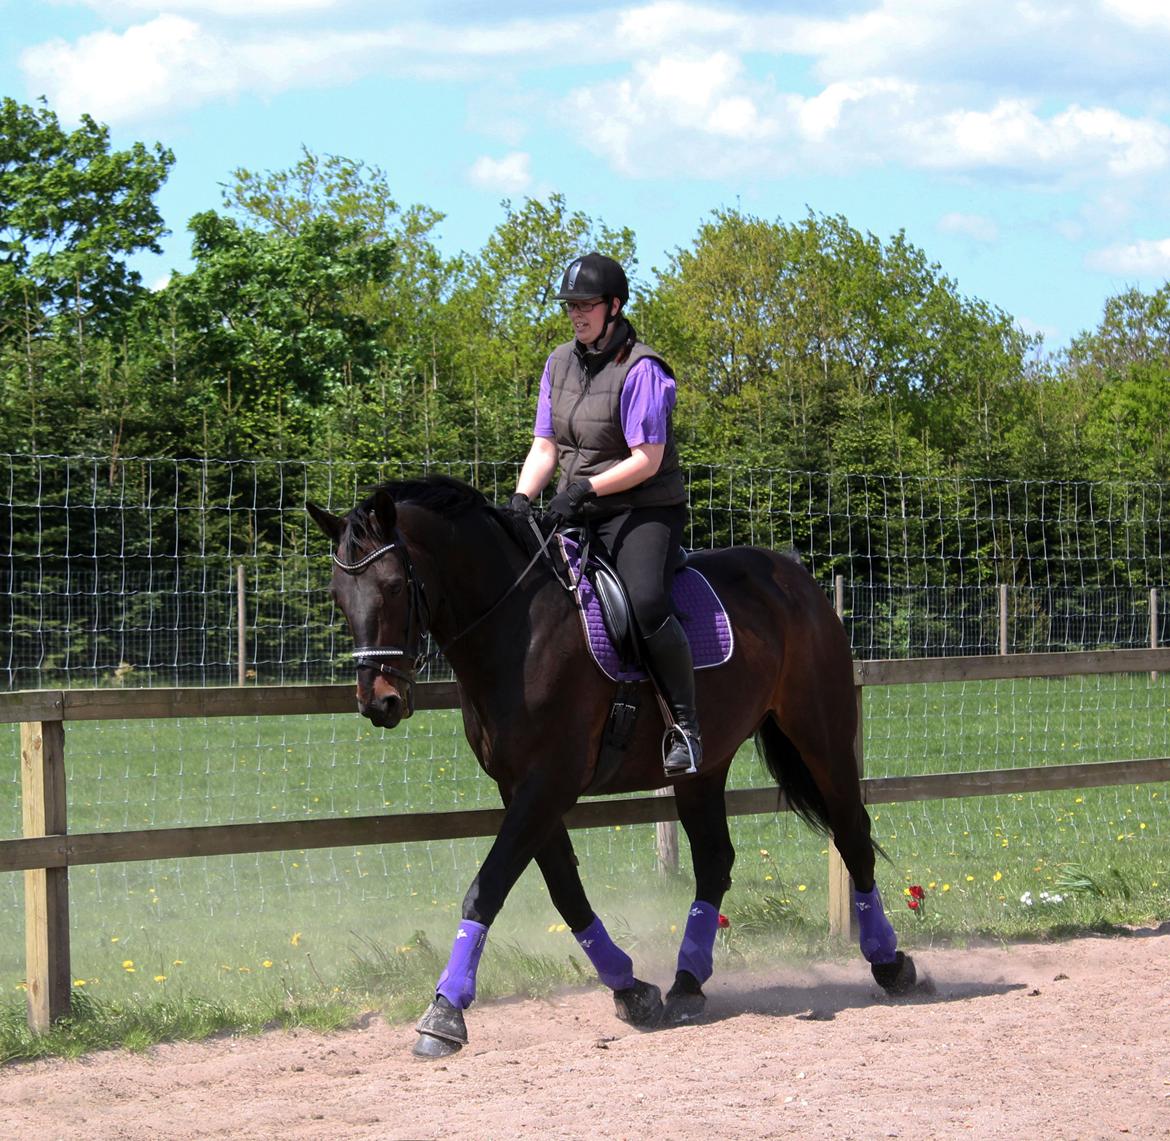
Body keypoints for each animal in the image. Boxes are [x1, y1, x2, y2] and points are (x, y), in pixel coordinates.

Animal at [308, 477, 912, 1057]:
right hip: (706, 765)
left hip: (821, 736)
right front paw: (631, 989)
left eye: (393, 586)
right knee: (714, 859)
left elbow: (489, 885)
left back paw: (890, 963)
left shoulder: (547, 783)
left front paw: (445, 1014)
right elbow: (564, 890)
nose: (379, 702)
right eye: (339, 595)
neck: (517, 629)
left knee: (852, 835)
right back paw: (687, 984)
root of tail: (794, 576)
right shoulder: (520, 786)